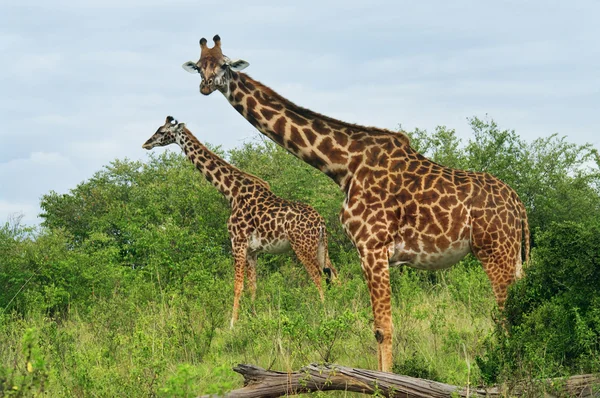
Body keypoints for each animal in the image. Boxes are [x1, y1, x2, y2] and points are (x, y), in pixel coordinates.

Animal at [141, 116, 338, 328]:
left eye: (162, 131)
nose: (146, 143)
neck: (231, 192)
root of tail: (321, 222)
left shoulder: (237, 242)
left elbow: (237, 285)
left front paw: (231, 325)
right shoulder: (252, 251)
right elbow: (253, 286)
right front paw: (252, 319)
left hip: (302, 246)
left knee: (319, 276)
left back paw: (325, 314)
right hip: (320, 246)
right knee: (334, 274)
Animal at [183, 35, 528, 372]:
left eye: (224, 64)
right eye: (199, 66)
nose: (205, 86)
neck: (343, 166)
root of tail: (519, 206)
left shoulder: (372, 247)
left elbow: (382, 328)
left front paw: (386, 382)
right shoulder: (371, 252)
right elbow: (378, 326)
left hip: (495, 252)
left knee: (507, 316)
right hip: (514, 257)